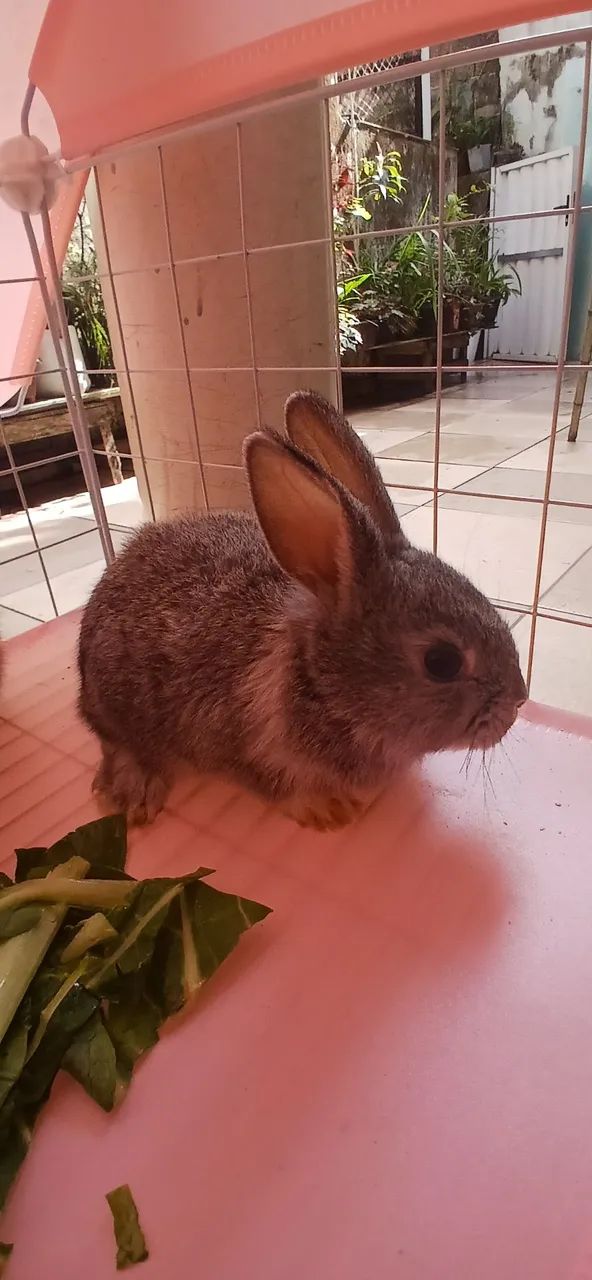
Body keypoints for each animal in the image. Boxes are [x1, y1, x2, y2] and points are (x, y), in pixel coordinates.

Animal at [78, 391, 527, 830]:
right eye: (441, 662)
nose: (519, 701)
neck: (318, 683)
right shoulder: (242, 747)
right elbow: (276, 785)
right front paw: (328, 810)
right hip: (115, 704)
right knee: (116, 741)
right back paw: (133, 793)